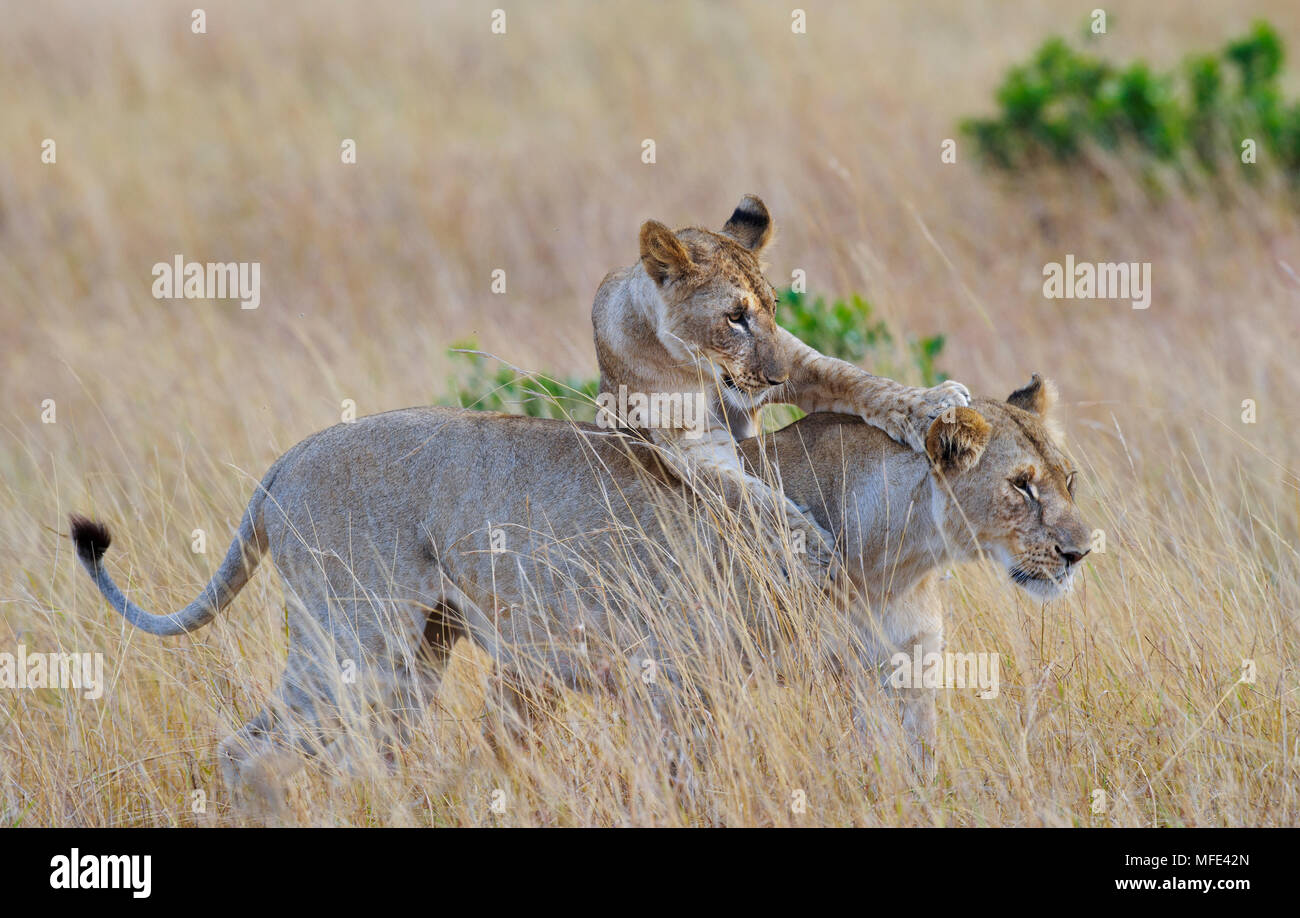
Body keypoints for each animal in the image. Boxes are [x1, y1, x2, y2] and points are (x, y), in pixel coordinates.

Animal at [69, 374, 1089, 809]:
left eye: (1070, 479)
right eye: (1020, 487)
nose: (1081, 552)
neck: (905, 549)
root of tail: (289, 456)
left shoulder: (900, 673)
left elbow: (911, 770)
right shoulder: (676, 674)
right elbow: (688, 785)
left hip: (411, 663)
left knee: (361, 755)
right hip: (352, 644)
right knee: (245, 749)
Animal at [591, 193, 971, 576]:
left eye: (773, 306)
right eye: (734, 317)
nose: (778, 378)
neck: (705, 373)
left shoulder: (799, 361)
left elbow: (854, 378)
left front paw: (933, 405)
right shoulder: (685, 437)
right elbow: (743, 491)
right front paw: (810, 550)